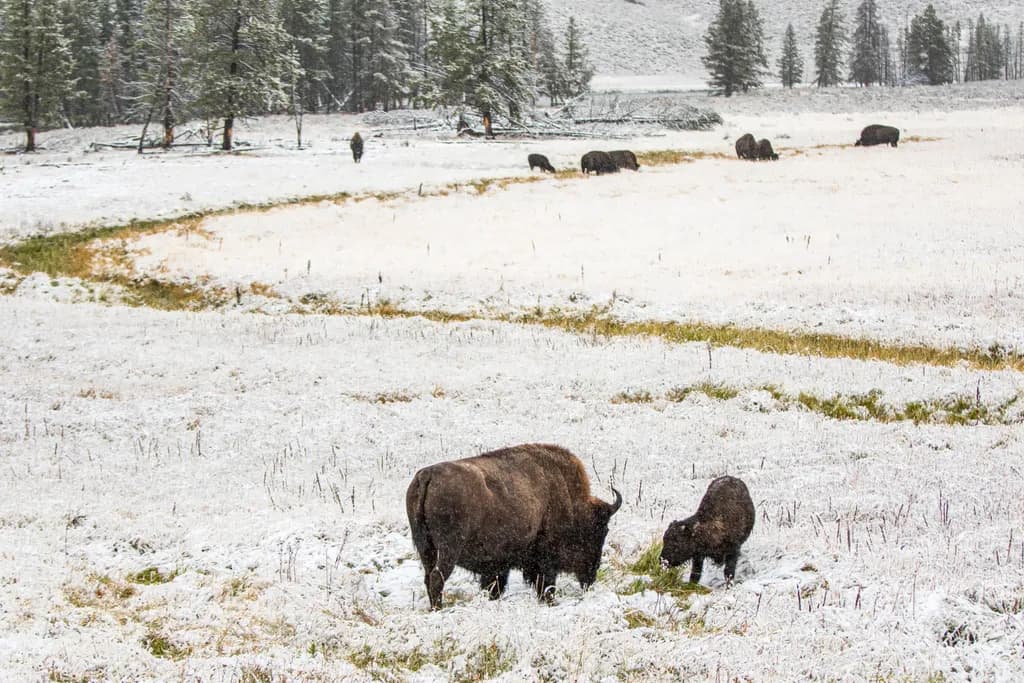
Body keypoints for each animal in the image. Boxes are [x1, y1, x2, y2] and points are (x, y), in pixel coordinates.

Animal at [406, 443, 622, 610]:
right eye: (599, 531)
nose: (592, 574)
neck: (569, 499)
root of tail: (427, 476)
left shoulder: (498, 566)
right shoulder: (544, 561)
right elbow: (546, 584)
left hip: (425, 549)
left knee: (428, 577)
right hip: (448, 550)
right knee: (437, 578)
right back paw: (438, 609)